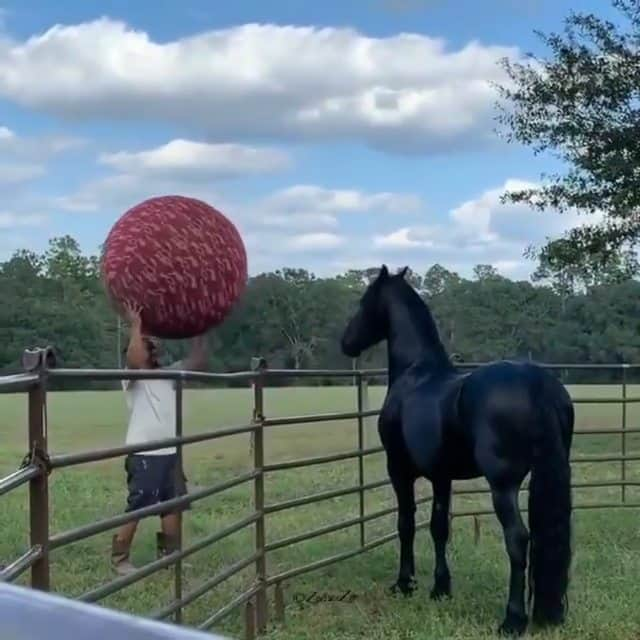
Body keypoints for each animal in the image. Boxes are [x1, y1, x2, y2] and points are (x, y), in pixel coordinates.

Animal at [342, 264, 572, 636]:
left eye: (365, 301)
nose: (346, 343)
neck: (415, 374)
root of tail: (538, 383)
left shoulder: (399, 470)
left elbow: (406, 523)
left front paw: (405, 583)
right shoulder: (441, 476)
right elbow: (439, 527)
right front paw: (440, 588)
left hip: (502, 486)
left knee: (517, 539)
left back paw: (512, 620)